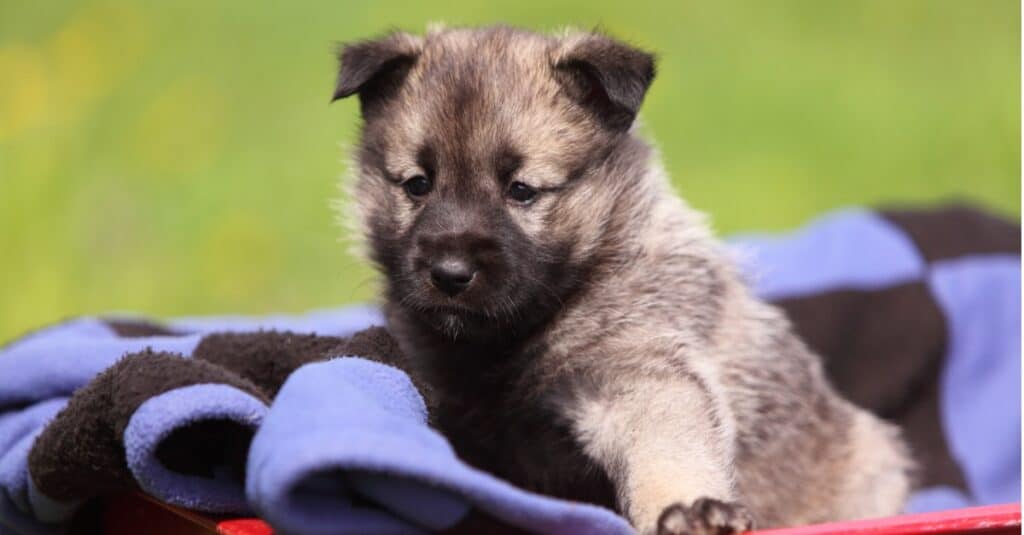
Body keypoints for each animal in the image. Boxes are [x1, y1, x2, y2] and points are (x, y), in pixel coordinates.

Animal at [333, 26, 913, 532]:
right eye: (417, 184)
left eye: (522, 190)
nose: (450, 274)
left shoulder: (637, 372)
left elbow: (668, 447)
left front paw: (690, 510)